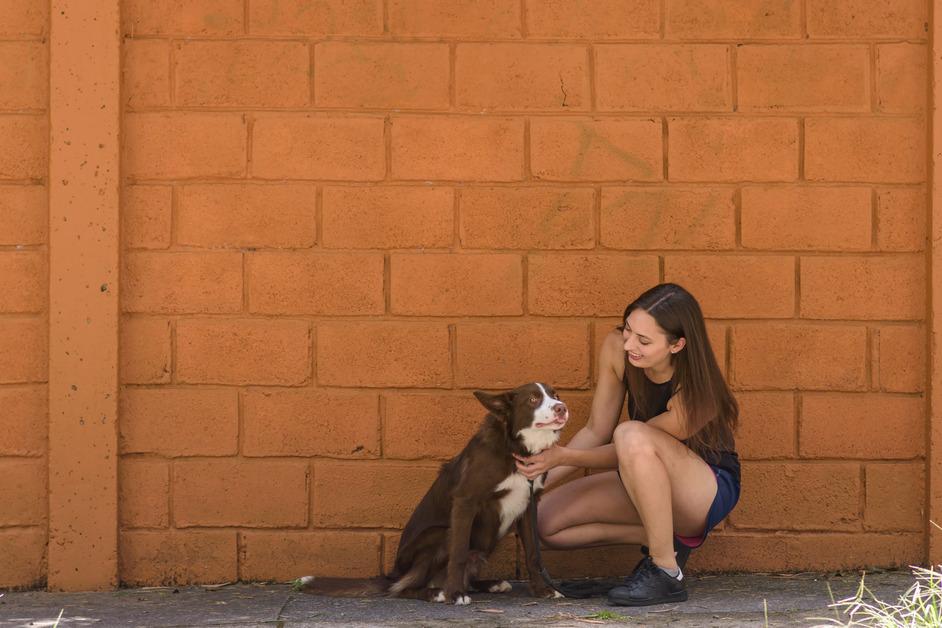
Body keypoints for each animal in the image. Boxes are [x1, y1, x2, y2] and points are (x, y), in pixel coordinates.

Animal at [300, 382, 568, 604]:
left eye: (555, 395)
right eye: (533, 399)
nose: (562, 408)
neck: (517, 448)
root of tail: (393, 573)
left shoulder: (529, 504)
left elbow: (533, 554)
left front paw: (543, 590)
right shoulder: (465, 502)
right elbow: (458, 554)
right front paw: (455, 594)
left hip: (479, 550)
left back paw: (489, 584)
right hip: (439, 534)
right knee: (400, 589)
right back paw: (436, 592)